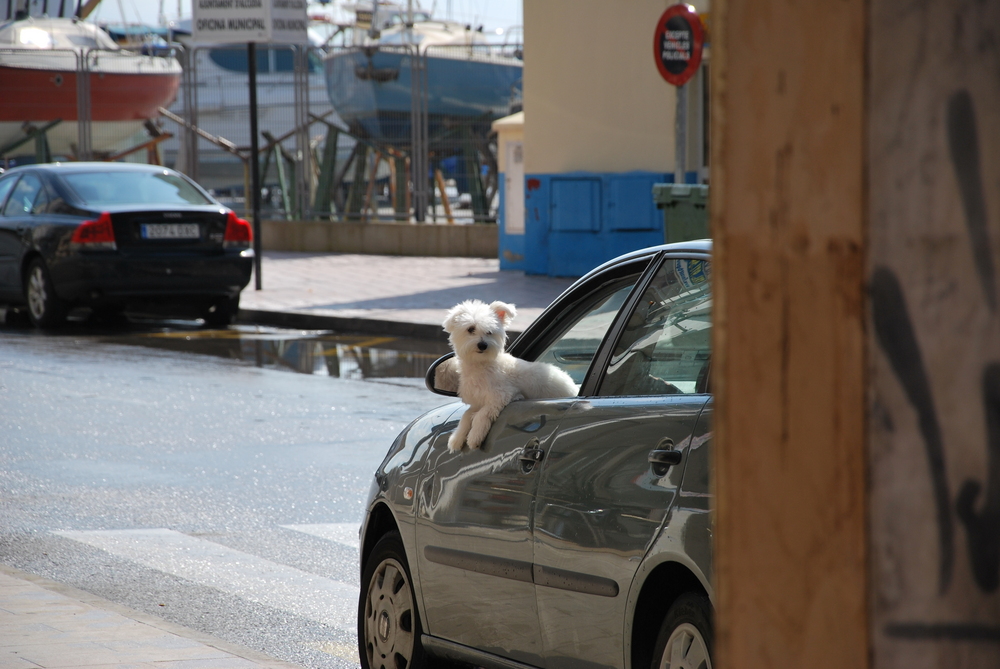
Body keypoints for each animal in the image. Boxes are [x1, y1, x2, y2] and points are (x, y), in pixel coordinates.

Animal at [444, 300, 580, 452]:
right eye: (470, 329)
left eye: (489, 332)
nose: (483, 345)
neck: (482, 365)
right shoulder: (478, 399)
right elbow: (466, 415)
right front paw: (457, 438)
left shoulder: (503, 395)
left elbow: (481, 414)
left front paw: (475, 436)